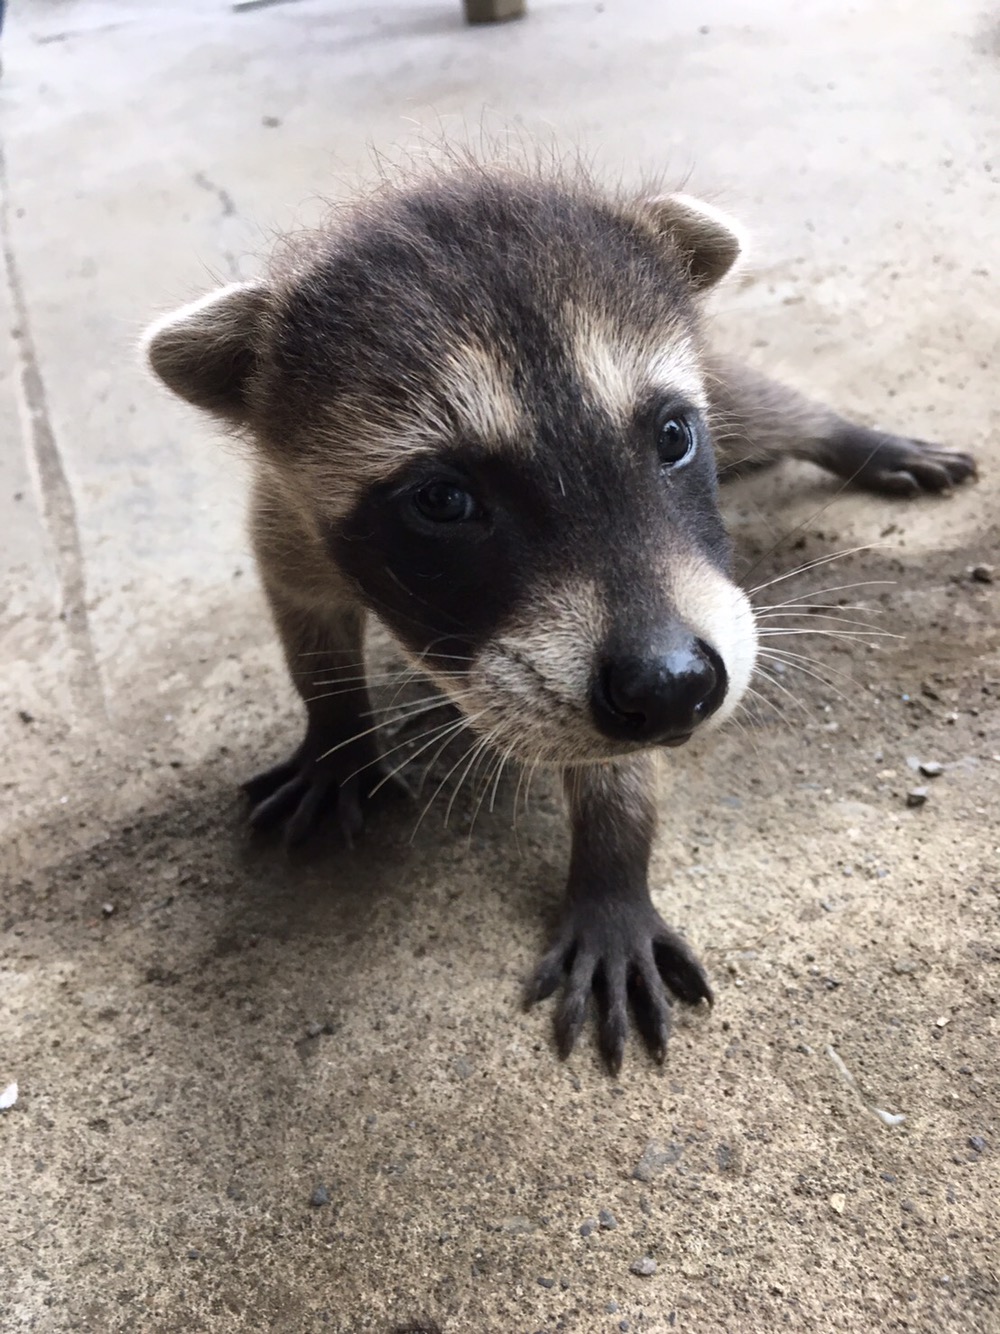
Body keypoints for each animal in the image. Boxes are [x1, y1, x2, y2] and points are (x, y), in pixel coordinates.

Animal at [142, 158, 981, 1072]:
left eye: (673, 437)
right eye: (443, 500)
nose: (677, 686)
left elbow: (618, 762)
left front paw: (613, 868)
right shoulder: (287, 515)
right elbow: (304, 619)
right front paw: (335, 728)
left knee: (767, 408)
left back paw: (850, 436)